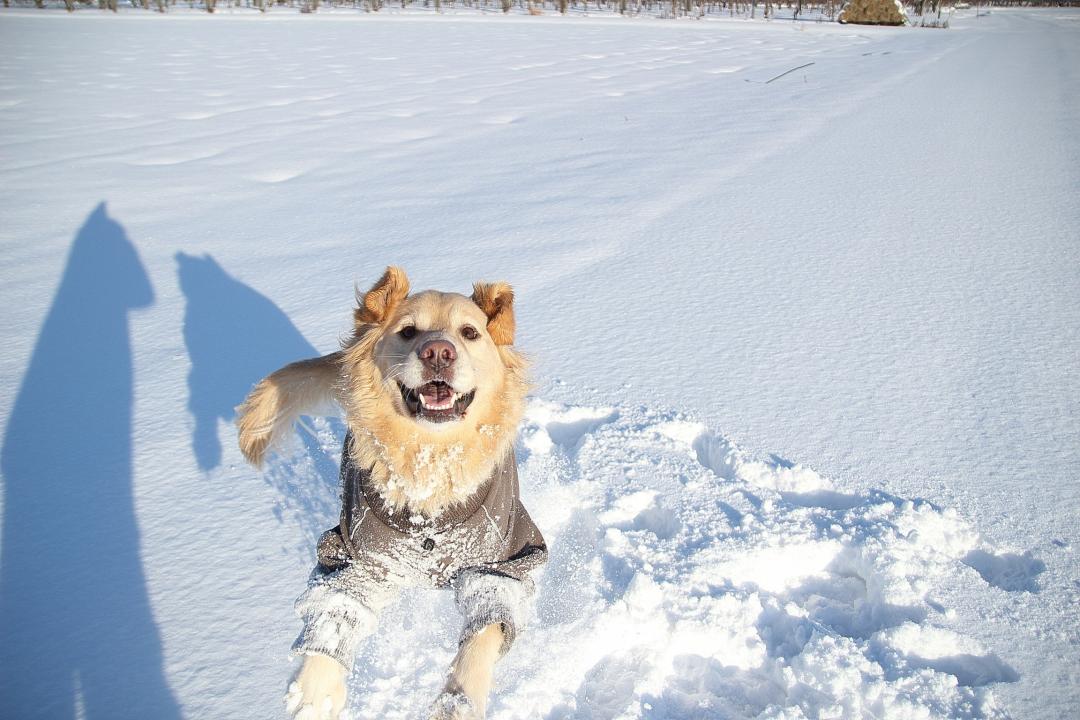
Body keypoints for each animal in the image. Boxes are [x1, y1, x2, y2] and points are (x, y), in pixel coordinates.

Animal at [233, 269, 544, 720]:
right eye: (408, 331)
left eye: (469, 332)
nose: (438, 353)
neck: (429, 464)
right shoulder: (355, 555)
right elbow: (335, 611)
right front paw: (314, 694)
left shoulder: (504, 559)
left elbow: (483, 633)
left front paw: (457, 700)